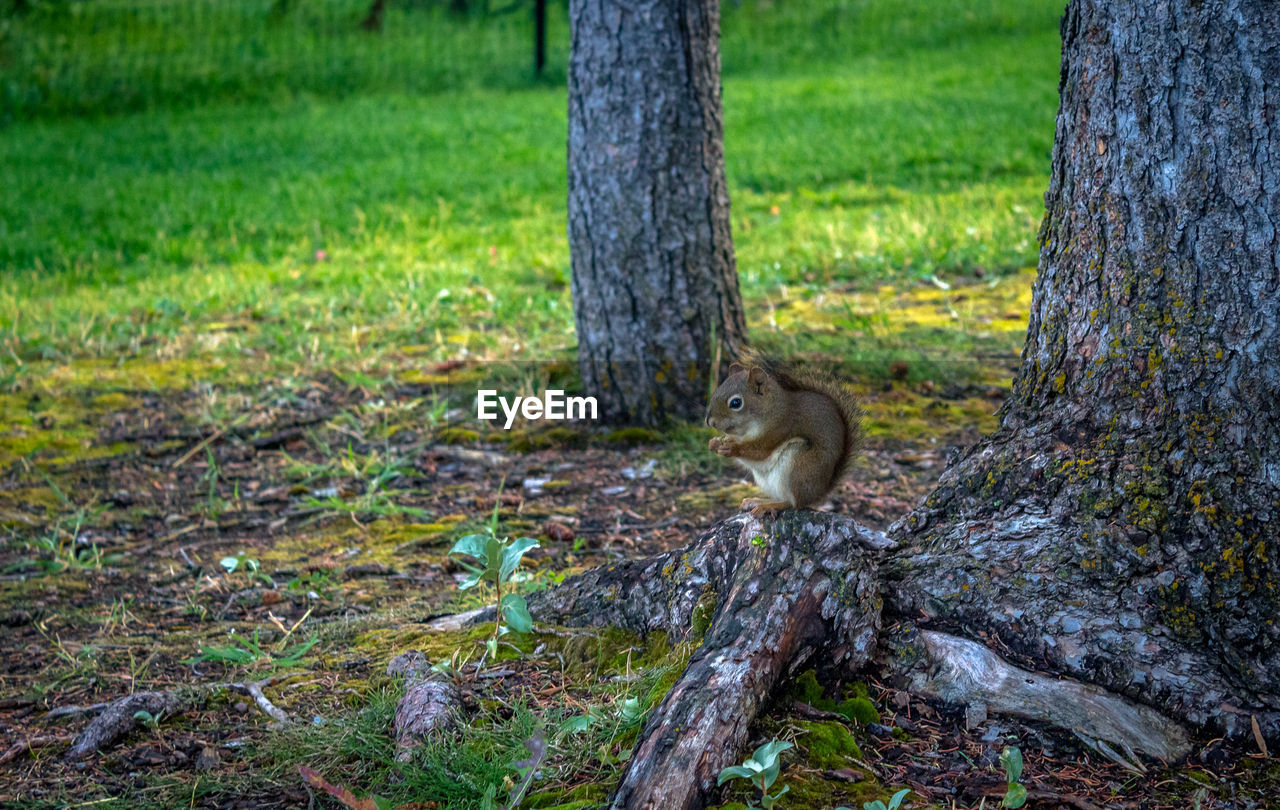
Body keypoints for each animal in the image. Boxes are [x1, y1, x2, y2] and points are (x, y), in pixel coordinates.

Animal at [706, 348, 865, 514]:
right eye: (717, 390)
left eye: (736, 403)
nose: (710, 422)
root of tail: (819, 493)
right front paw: (714, 443)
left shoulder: (781, 428)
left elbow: (759, 451)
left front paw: (730, 448)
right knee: (779, 496)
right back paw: (757, 501)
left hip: (800, 466)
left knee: (794, 503)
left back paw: (769, 506)